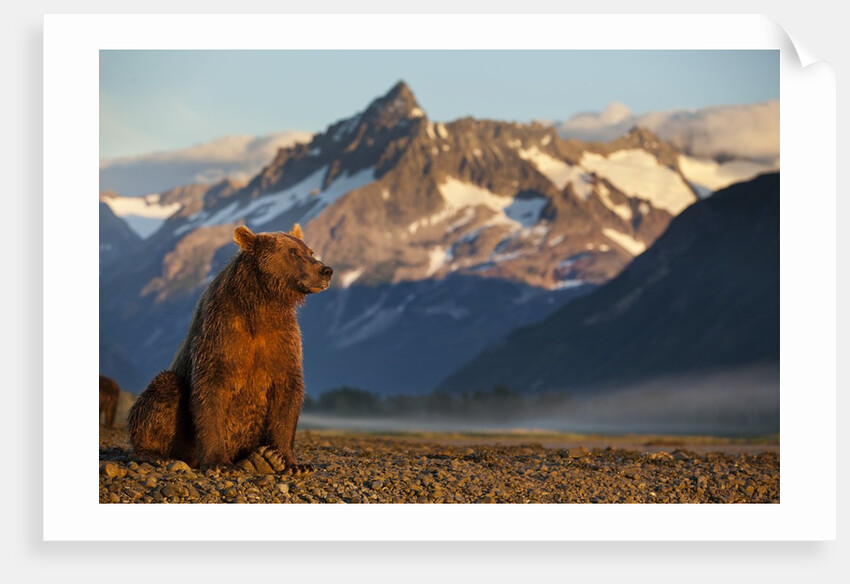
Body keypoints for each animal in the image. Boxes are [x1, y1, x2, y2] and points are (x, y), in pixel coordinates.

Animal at [127, 223, 332, 475]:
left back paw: (261, 458)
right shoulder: (221, 333)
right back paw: (153, 454)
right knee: (164, 391)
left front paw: (292, 462)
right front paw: (220, 463)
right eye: (292, 253)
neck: (263, 303)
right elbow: (210, 391)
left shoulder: (283, 339)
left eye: (309, 251)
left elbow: (287, 394)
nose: (326, 270)